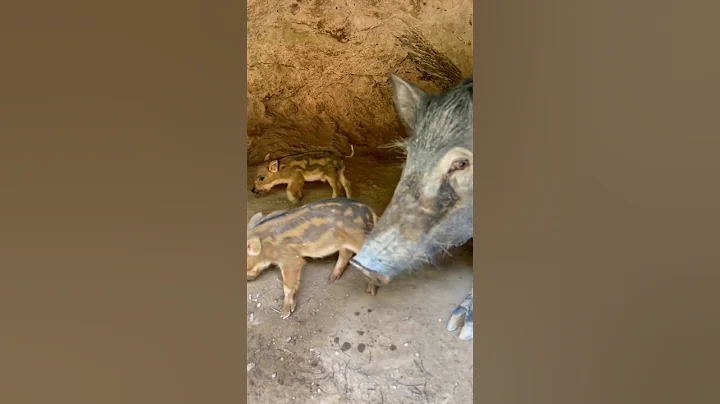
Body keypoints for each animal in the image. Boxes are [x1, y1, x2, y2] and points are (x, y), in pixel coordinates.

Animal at [246, 198, 380, 319]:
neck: (265, 246)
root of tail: (370, 210)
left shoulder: (290, 259)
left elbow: (288, 286)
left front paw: (284, 314)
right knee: (345, 254)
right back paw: (331, 279)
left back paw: (370, 292)